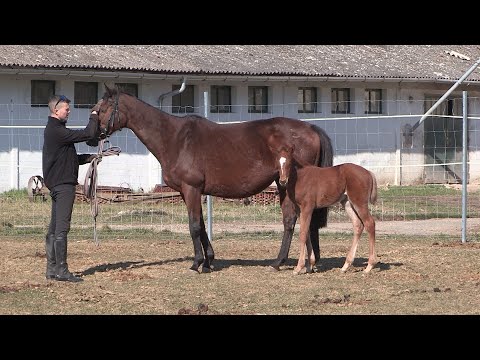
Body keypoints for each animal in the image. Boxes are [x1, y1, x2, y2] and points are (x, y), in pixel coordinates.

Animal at [97, 86, 334, 272]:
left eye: (102, 109)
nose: (92, 136)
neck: (175, 138)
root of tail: (311, 128)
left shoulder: (191, 188)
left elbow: (193, 225)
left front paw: (197, 263)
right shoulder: (190, 191)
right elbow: (201, 225)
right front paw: (208, 260)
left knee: (300, 220)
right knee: (293, 220)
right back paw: (292, 262)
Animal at [276, 145, 376, 274]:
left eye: (289, 162)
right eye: (277, 163)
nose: (282, 181)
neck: (300, 177)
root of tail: (368, 172)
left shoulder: (307, 207)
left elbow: (303, 234)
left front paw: (299, 267)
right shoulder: (299, 209)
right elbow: (307, 232)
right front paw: (310, 265)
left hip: (359, 202)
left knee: (370, 223)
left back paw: (369, 266)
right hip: (347, 203)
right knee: (358, 225)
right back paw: (345, 266)